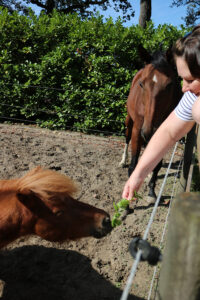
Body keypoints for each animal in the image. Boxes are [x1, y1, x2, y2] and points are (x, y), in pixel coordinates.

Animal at [119, 49, 183, 204]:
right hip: (130, 120)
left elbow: (157, 165)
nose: (148, 131)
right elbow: (133, 166)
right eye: (142, 84)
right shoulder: (138, 130)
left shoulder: (163, 132)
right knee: (127, 137)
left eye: (169, 85)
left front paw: (151, 191)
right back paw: (123, 160)